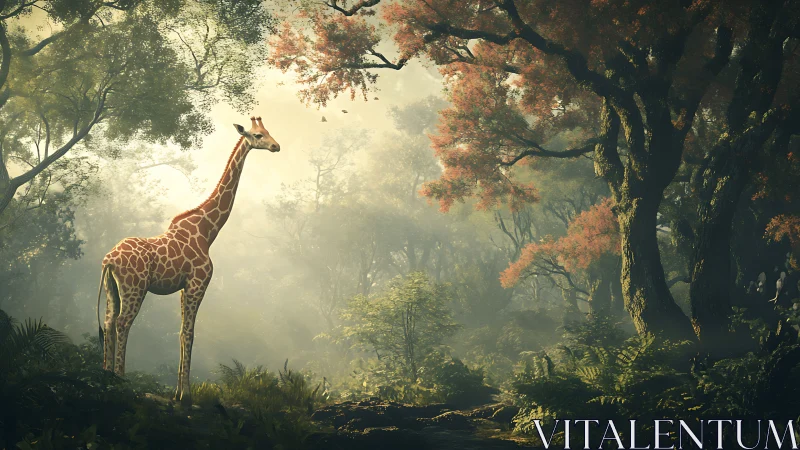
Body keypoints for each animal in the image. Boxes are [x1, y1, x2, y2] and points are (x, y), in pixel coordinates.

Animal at [95, 116, 280, 405]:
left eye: (269, 131)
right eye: (258, 135)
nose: (276, 146)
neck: (208, 231)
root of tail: (108, 260)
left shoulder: (184, 288)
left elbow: (182, 332)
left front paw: (178, 393)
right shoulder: (197, 284)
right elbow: (190, 333)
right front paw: (186, 396)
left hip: (112, 288)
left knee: (109, 323)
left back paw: (108, 378)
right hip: (135, 288)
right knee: (123, 323)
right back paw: (122, 382)